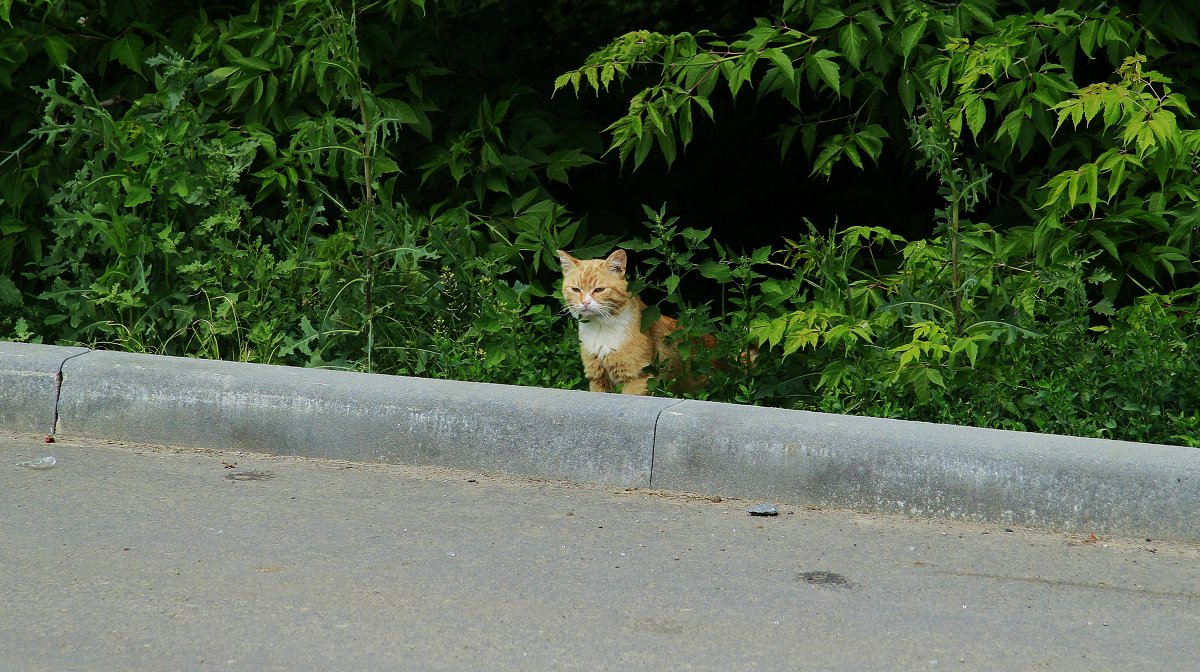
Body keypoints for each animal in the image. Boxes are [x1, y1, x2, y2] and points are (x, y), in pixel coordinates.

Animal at [556, 248, 681, 393]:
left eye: (599, 290)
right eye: (576, 289)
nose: (585, 302)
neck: (600, 328)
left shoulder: (636, 378)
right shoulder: (597, 378)